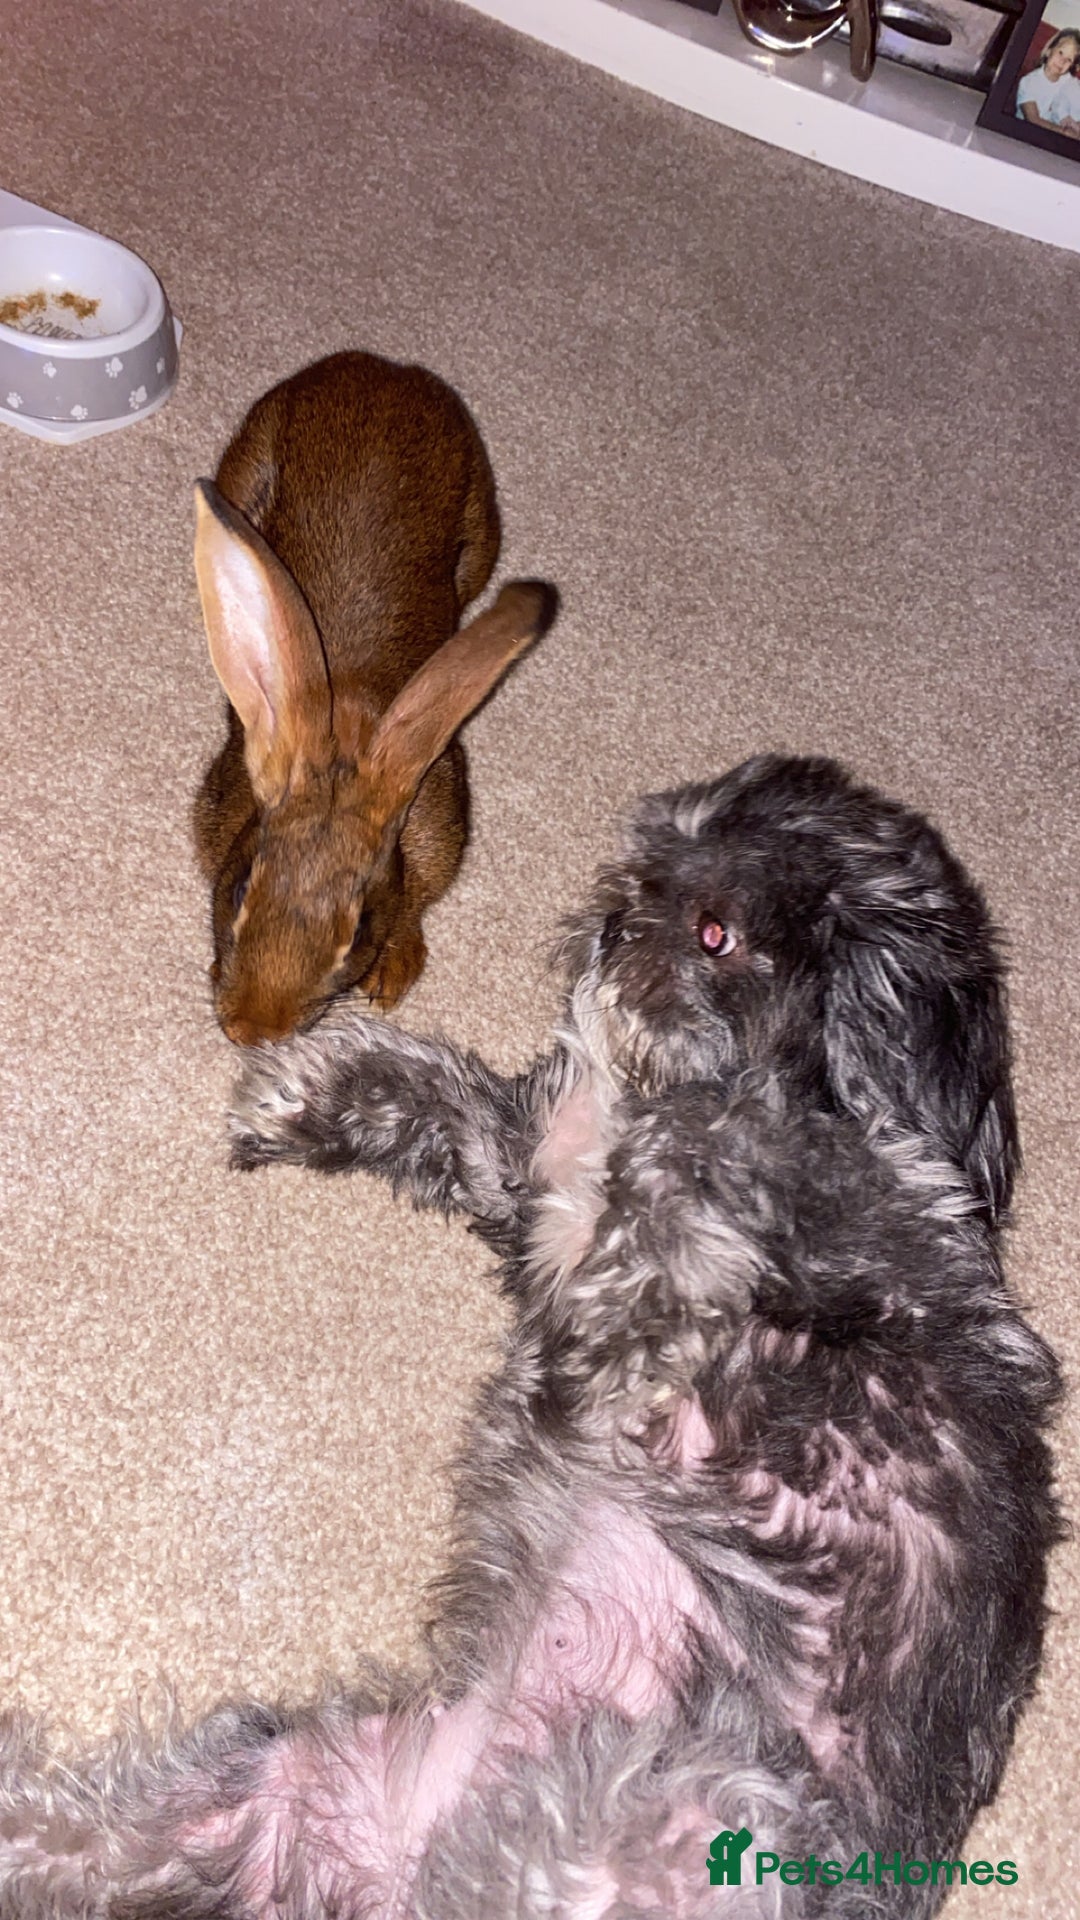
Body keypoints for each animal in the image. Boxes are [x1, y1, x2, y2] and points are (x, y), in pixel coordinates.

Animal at [190, 350, 557, 1046]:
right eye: (241, 887)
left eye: (358, 928)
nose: (254, 1030)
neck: (353, 734)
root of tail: (382, 368)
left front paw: (393, 976)